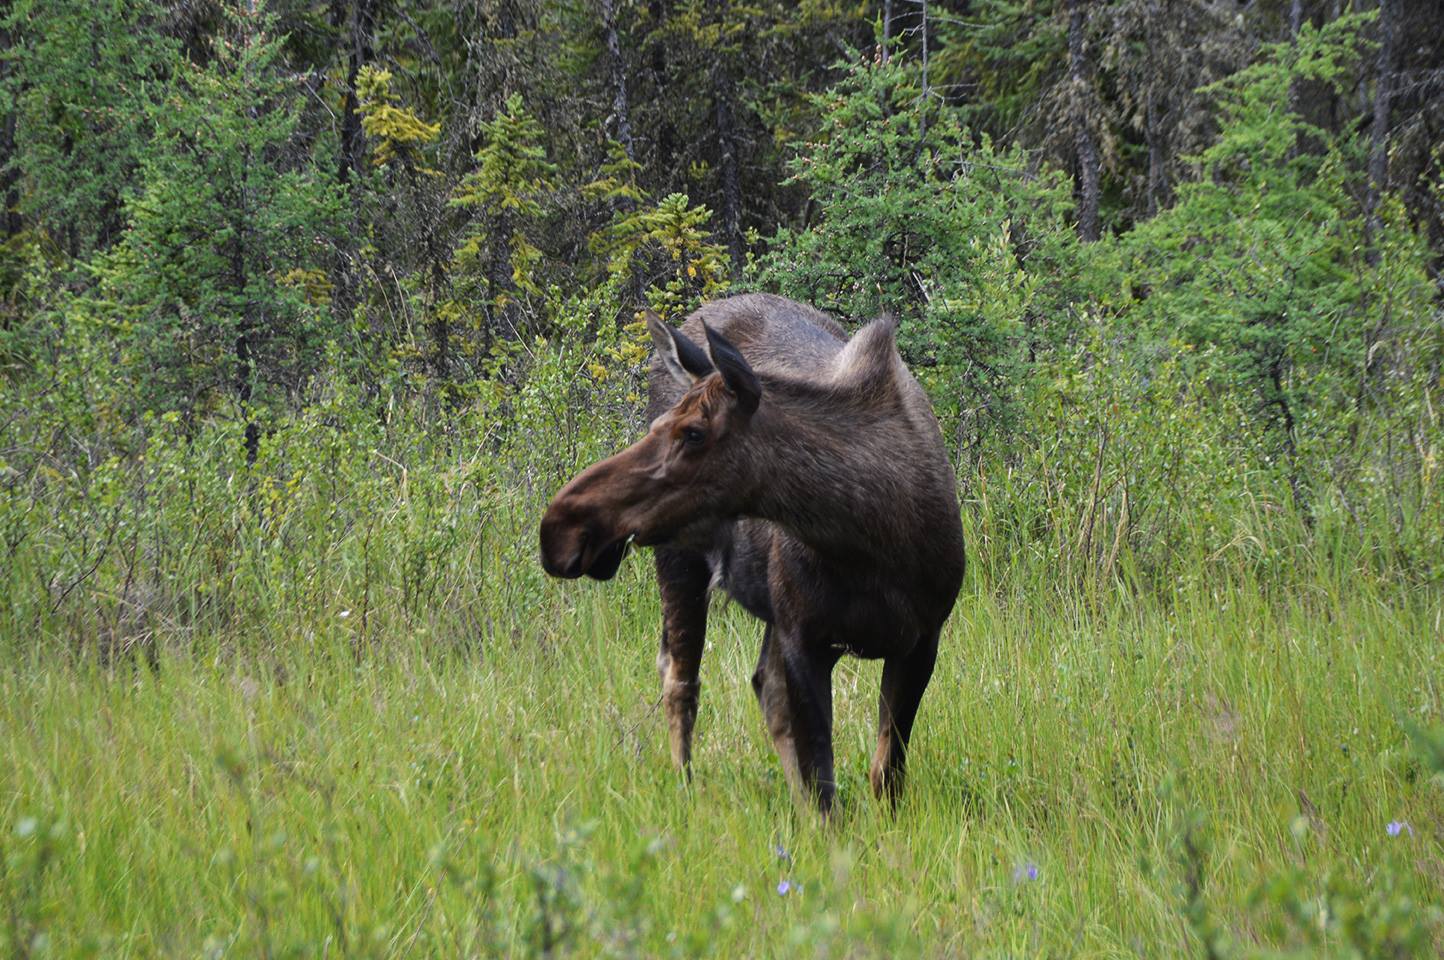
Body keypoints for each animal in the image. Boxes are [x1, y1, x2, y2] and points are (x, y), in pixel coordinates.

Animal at [539, 294, 965, 815]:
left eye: (693, 433)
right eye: (659, 424)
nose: (558, 526)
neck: (869, 538)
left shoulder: (922, 639)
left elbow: (883, 775)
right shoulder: (805, 638)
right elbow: (824, 785)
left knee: (760, 686)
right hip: (679, 560)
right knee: (681, 680)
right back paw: (686, 790)